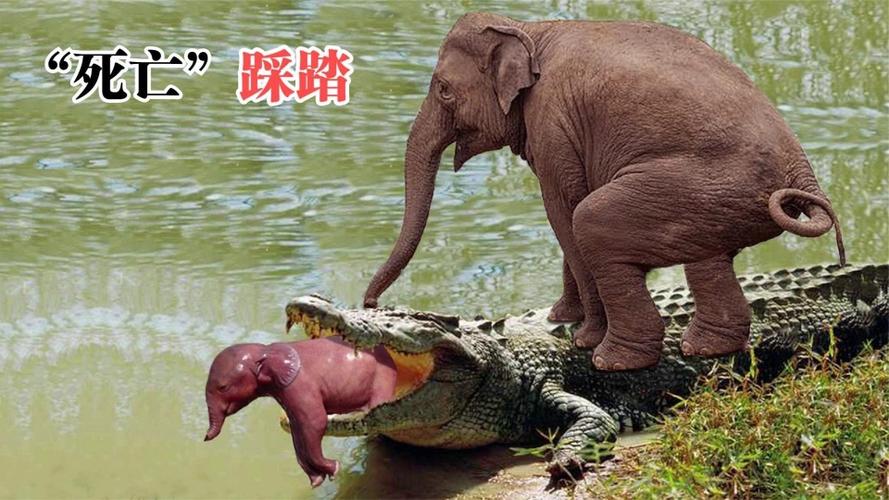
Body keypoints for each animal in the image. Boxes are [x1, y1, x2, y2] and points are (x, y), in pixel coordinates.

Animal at [203, 338, 397, 487]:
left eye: (223, 387)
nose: (205, 438)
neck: (266, 350)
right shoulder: (285, 393)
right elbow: (297, 430)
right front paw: (317, 481)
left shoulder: (300, 385)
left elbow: (315, 422)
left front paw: (334, 469)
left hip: (383, 376)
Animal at [363, 12, 844, 371]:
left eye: (443, 90)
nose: (370, 303)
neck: (528, 27)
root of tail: (801, 170)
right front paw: (561, 317)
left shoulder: (553, 121)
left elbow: (564, 208)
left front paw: (581, 337)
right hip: (719, 201)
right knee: (708, 259)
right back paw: (704, 348)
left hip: (698, 185)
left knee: (592, 220)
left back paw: (613, 360)